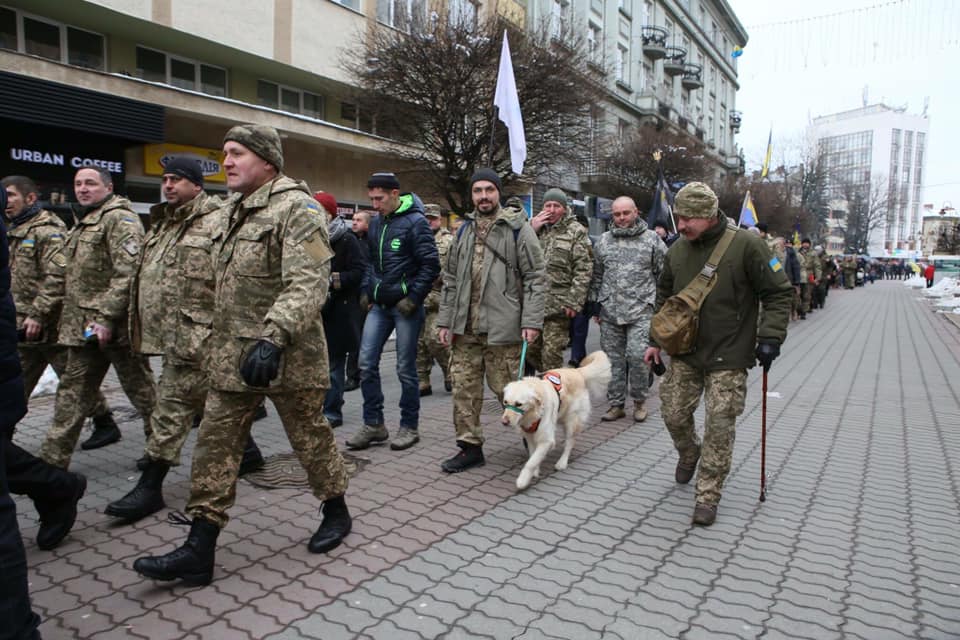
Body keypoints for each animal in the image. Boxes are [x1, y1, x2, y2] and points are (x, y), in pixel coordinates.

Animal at [498, 350, 612, 490]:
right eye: (505, 402)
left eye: (519, 404)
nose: (504, 422)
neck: (534, 413)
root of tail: (577, 372)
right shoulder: (530, 436)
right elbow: (532, 455)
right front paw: (534, 472)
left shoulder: (546, 440)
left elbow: (531, 461)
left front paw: (523, 480)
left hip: (571, 422)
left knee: (570, 443)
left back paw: (562, 463)